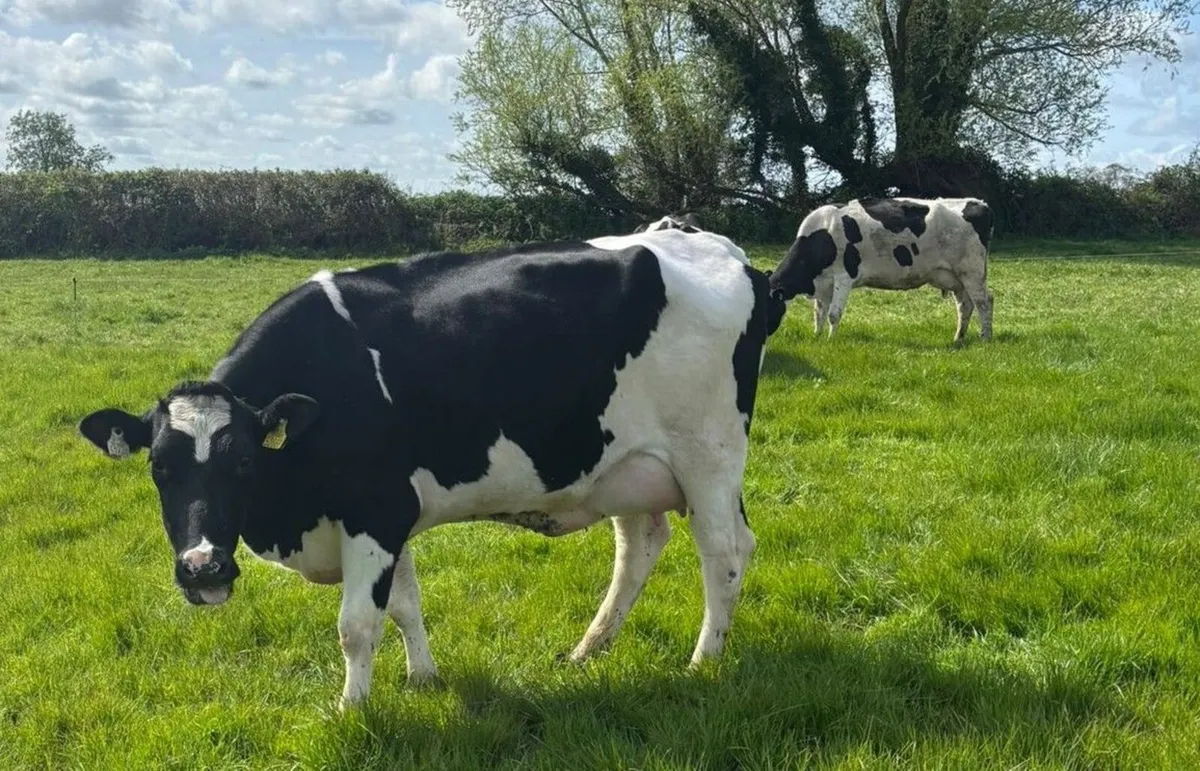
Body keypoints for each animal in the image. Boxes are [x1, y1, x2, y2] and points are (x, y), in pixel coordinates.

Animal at [77, 229, 774, 710]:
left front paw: (352, 710)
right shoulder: (390, 517)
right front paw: (423, 679)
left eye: (245, 461)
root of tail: (723, 251)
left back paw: (703, 663)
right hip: (622, 466)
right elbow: (404, 605)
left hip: (709, 455)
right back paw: (587, 651)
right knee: (640, 545)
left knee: (725, 552)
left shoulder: (376, 510)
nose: (204, 568)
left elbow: (358, 624)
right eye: (159, 468)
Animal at [767, 196, 994, 344]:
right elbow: (819, 313)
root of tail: (979, 203)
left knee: (984, 302)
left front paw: (831, 340)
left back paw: (985, 338)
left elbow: (833, 314)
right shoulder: (823, 283)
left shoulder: (843, 277)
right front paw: (817, 336)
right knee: (965, 306)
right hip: (956, 277)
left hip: (972, 271)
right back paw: (958, 338)